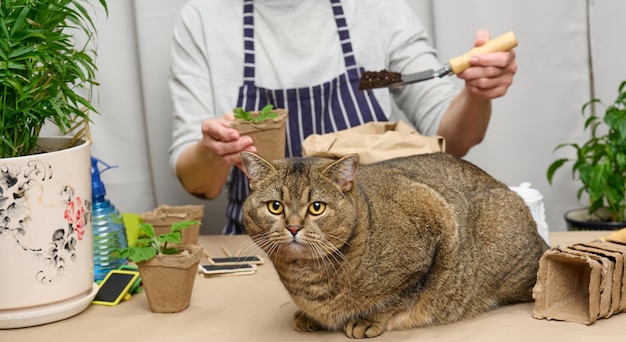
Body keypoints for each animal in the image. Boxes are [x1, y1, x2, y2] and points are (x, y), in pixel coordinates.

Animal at [239, 151, 544, 338]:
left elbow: (399, 297)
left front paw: (369, 319)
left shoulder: (435, 224)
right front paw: (310, 316)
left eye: (317, 207)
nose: (293, 227)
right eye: (275, 206)